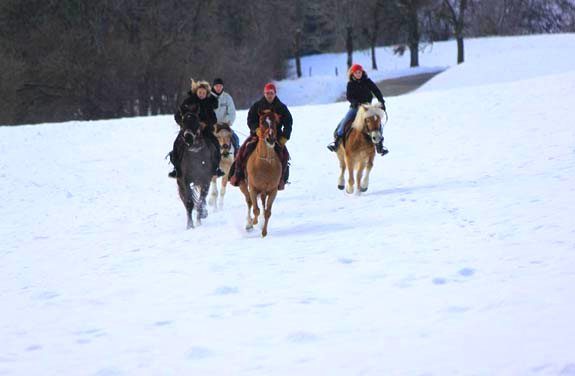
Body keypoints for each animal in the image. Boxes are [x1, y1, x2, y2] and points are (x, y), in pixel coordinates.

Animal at [238, 109, 284, 238]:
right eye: (262, 122)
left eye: (275, 122)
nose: (270, 138)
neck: (265, 164)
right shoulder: (253, 188)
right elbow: (256, 209)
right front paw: (253, 222)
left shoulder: (273, 190)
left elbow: (267, 212)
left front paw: (264, 231)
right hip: (243, 185)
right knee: (249, 202)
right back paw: (249, 224)